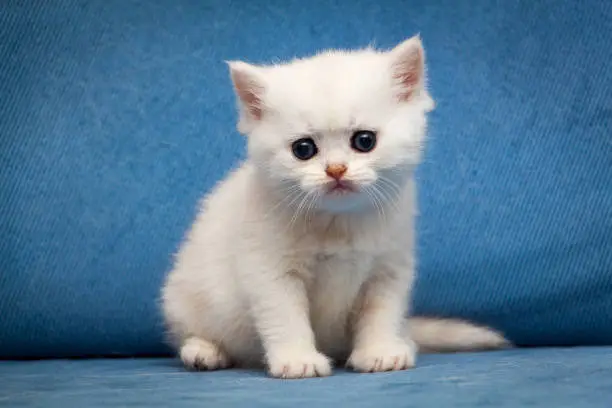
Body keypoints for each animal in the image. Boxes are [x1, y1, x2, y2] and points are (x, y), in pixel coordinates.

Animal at [160, 35, 510, 380]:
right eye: (303, 149)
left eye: (364, 141)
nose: (336, 170)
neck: (339, 222)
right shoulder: (269, 269)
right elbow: (284, 316)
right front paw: (298, 360)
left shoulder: (389, 268)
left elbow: (382, 313)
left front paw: (381, 351)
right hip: (185, 296)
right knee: (194, 331)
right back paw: (205, 351)